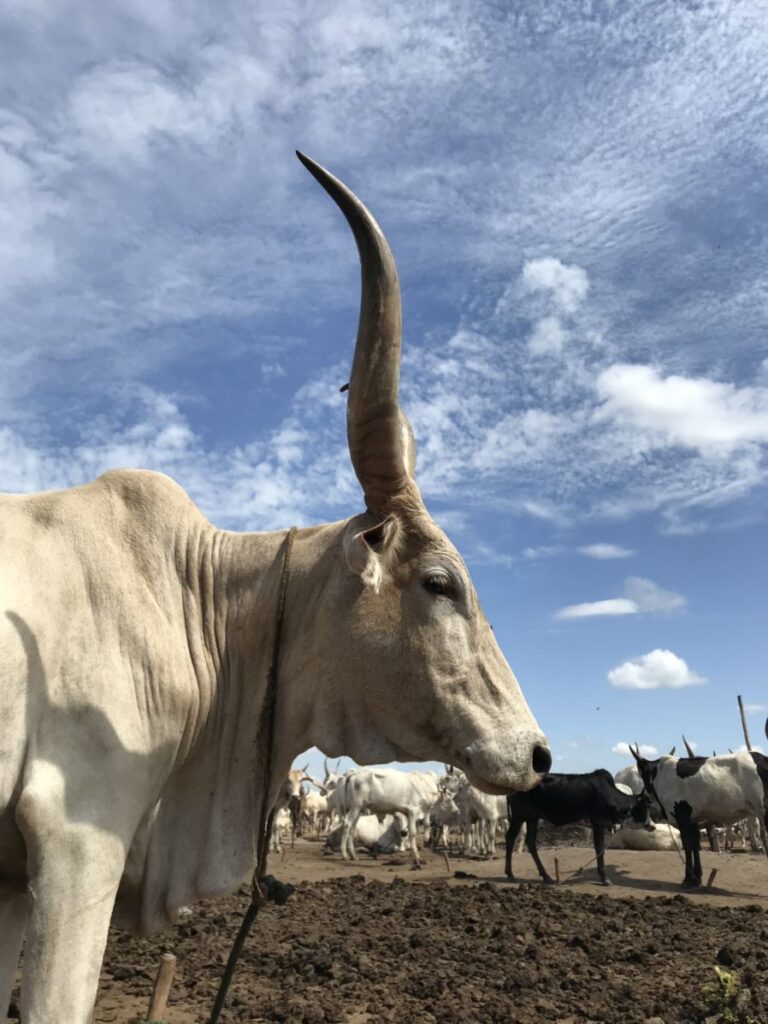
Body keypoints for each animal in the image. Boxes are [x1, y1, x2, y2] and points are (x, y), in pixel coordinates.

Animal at [505, 770, 641, 886]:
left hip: (532, 818)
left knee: (531, 841)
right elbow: (600, 849)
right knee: (510, 837)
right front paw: (604, 878)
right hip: (519, 816)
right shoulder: (598, 822)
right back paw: (510, 874)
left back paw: (546, 876)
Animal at [630, 725, 768, 887]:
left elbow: (687, 844)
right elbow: (695, 844)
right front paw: (698, 876)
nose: (642, 796)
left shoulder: (681, 814)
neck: (660, 774)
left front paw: (689, 879)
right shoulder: (694, 819)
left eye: (643, 775)